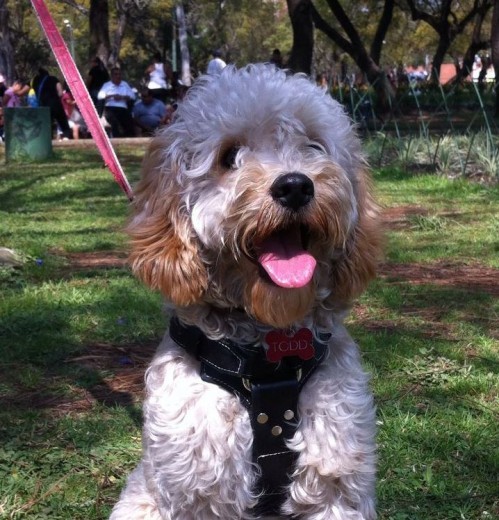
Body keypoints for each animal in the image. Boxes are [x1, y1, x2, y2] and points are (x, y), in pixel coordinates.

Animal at [110, 63, 382, 516]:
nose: (295, 186)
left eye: (313, 145)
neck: (268, 356)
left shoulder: (336, 484)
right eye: (229, 156)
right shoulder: (198, 491)